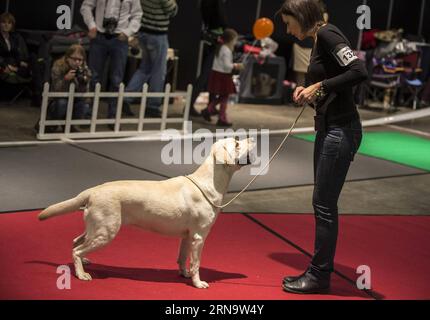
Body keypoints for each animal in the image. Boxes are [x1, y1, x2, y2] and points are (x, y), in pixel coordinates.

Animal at [38, 137, 255, 288]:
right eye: (237, 143)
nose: (253, 138)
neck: (210, 182)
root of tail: (92, 190)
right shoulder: (199, 237)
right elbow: (196, 263)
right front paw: (197, 283)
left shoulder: (187, 237)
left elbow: (182, 258)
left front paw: (183, 274)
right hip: (106, 231)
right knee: (76, 249)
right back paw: (82, 274)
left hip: (96, 227)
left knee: (76, 242)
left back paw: (84, 262)